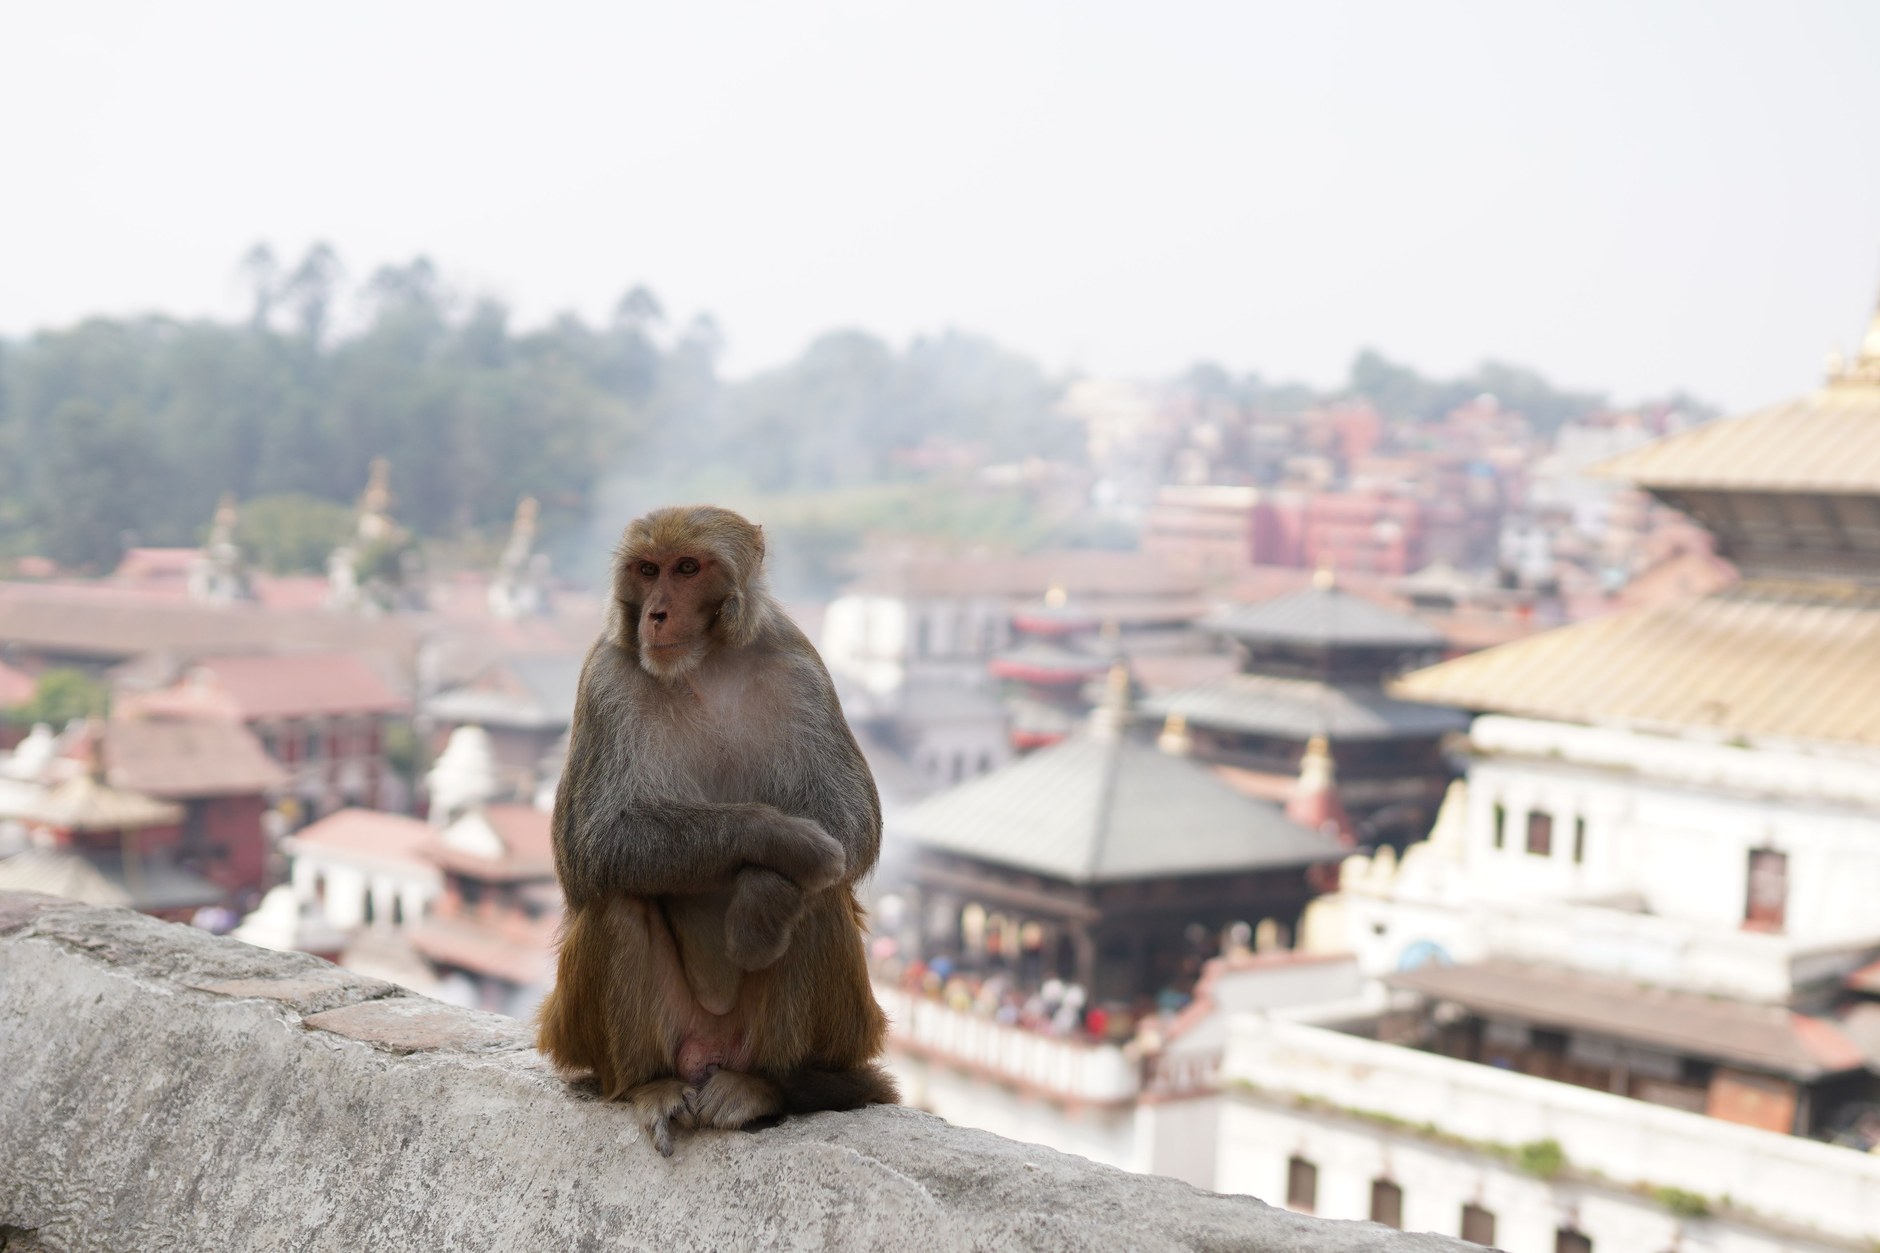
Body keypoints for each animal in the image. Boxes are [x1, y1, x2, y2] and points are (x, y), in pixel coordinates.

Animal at [535, 504, 898, 1155]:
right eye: (647, 570)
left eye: (686, 568)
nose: (655, 613)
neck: (705, 663)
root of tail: (708, 1056)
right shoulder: (605, 679)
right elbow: (593, 843)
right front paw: (781, 840)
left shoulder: (800, 665)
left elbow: (852, 818)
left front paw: (765, 893)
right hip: (592, 1035)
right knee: (618, 900)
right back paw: (650, 1084)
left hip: (838, 1035)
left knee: (821, 896)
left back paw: (762, 1084)